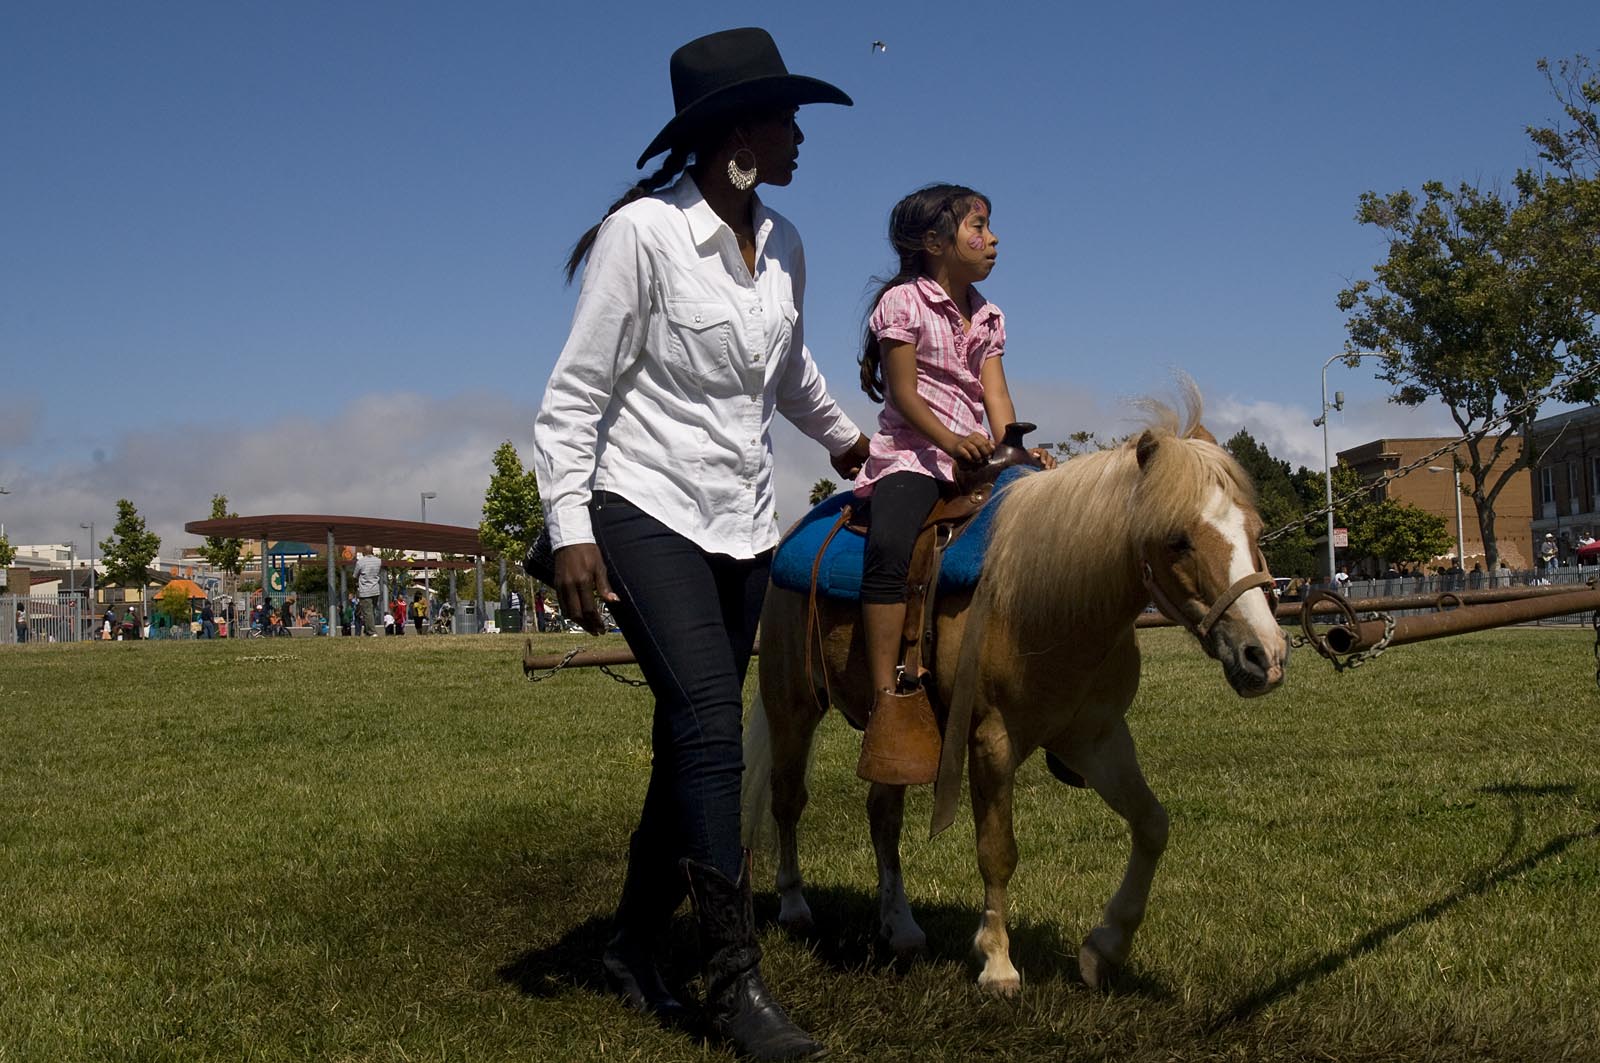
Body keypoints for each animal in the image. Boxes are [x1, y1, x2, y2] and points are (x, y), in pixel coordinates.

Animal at [745, 392, 1286, 998]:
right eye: (1178, 541)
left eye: (1256, 529)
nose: (1264, 656)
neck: (1042, 600)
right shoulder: (991, 741)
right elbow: (997, 851)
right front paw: (998, 963)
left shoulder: (1096, 738)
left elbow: (1152, 825)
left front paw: (1104, 949)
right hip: (792, 708)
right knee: (787, 800)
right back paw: (794, 905)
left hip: (896, 737)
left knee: (882, 815)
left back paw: (900, 925)